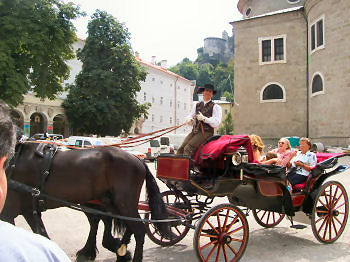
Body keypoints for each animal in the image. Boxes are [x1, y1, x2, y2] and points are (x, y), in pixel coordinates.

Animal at [1, 142, 172, 260]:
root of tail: (138, 159)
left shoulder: (9, 212)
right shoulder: (28, 209)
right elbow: (42, 235)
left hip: (123, 202)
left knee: (138, 230)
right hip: (110, 202)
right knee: (120, 224)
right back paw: (119, 251)